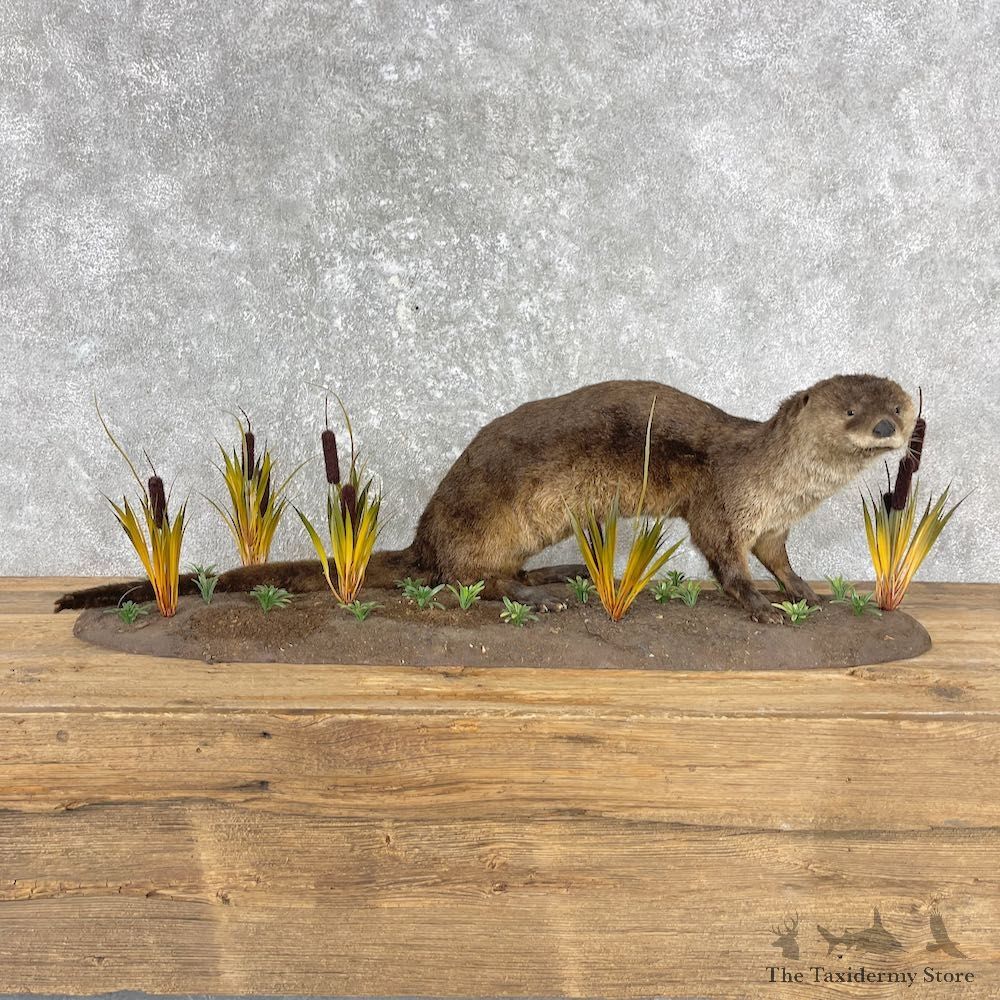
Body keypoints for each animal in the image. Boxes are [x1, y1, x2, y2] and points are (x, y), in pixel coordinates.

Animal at [56, 375, 915, 623]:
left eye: (900, 404)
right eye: (849, 407)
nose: (886, 427)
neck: (778, 483)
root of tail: (426, 531)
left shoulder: (770, 525)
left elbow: (779, 559)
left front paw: (807, 593)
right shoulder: (721, 505)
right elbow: (726, 563)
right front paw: (762, 608)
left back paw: (559, 576)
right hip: (491, 519)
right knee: (467, 579)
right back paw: (536, 596)